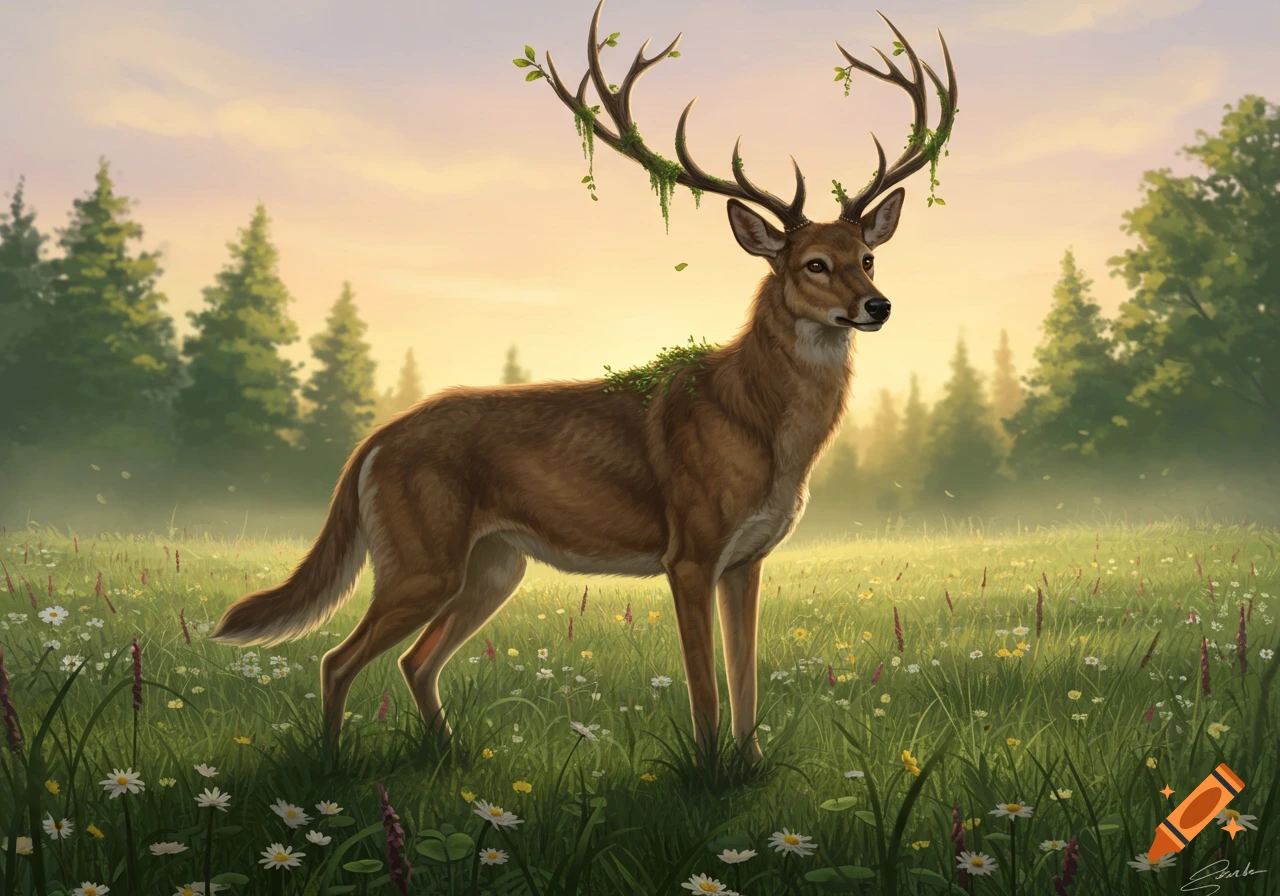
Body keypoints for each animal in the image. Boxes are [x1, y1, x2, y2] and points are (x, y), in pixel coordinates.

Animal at [211, 1, 957, 766]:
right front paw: (709, 771)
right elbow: (706, 687)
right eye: (813, 264)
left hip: (492, 567)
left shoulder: (746, 560)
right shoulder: (690, 552)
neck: (757, 425)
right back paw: (333, 765)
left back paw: (450, 755)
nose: (878, 306)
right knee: (337, 659)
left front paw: (749, 767)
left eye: (867, 256)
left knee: (414, 660)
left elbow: (746, 678)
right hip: (422, 562)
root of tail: (373, 443)